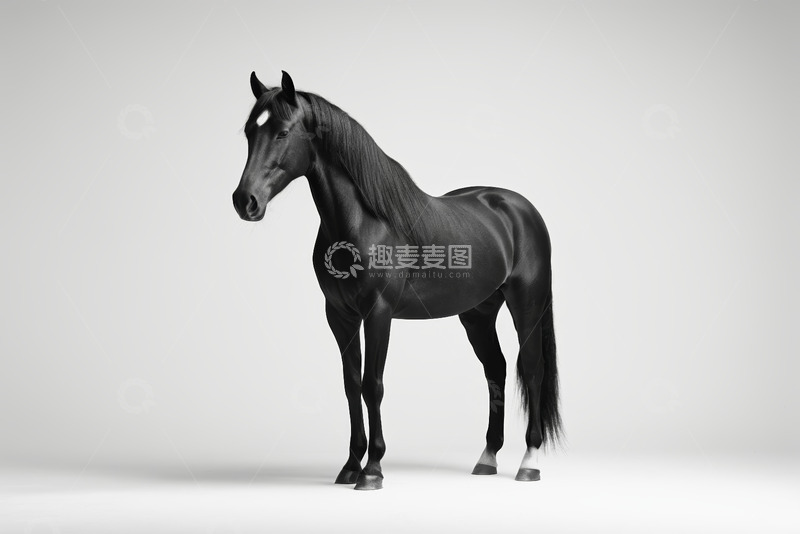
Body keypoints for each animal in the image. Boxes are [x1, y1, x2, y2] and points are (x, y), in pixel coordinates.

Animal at [232, 71, 561, 490]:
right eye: (248, 131)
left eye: (283, 132)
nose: (245, 201)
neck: (365, 222)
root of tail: (520, 208)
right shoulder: (339, 316)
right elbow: (351, 385)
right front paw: (350, 465)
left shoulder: (378, 313)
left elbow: (373, 385)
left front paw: (372, 470)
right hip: (478, 313)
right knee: (496, 370)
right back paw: (487, 458)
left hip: (527, 303)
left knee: (531, 369)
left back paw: (529, 462)